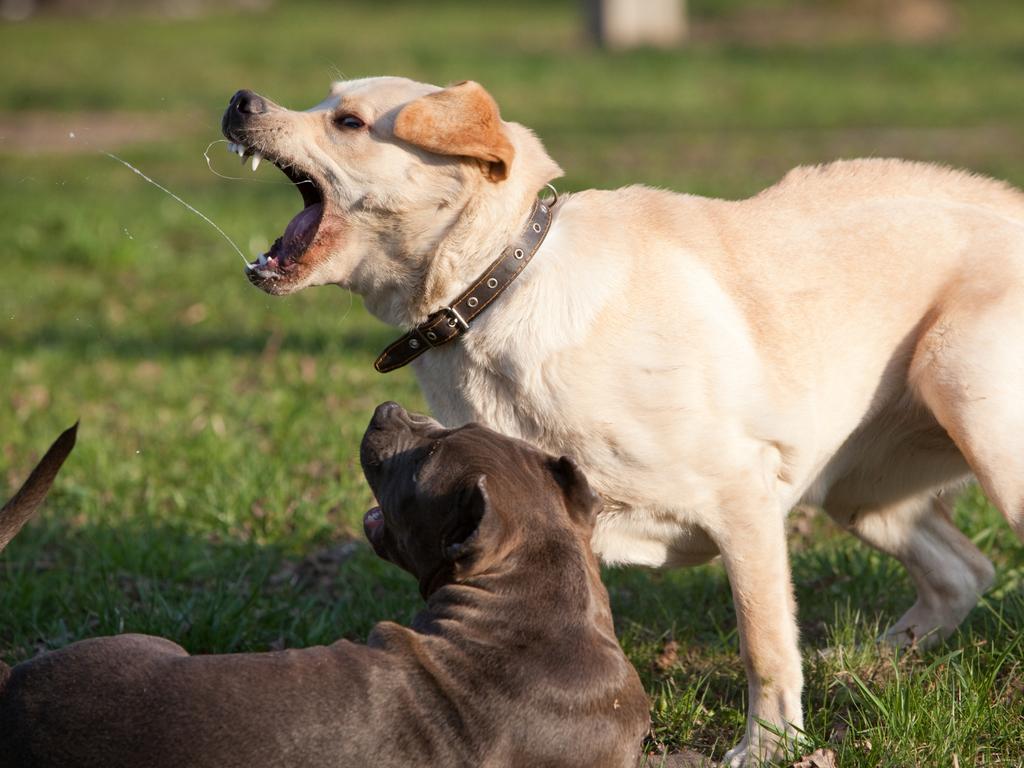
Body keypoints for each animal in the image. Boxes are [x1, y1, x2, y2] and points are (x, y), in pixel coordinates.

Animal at [222, 76, 1024, 765]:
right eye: (323, 99)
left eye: (349, 122)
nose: (239, 101)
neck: (499, 285)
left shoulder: (742, 499)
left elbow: (763, 643)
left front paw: (768, 747)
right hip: (858, 490)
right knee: (965, 569)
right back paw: (873, 660)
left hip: (970, 404)